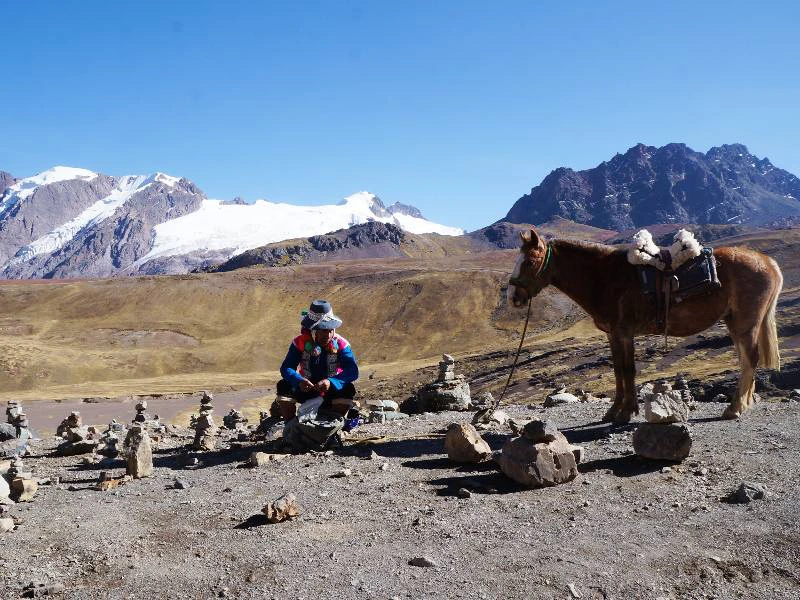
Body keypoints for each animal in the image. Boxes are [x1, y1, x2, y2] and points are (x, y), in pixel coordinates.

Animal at [508, 227, 783, 423]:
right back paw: (744, 403)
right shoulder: (613, 335)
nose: (513, 297)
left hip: (745, 324)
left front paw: (626, 413)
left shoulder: (624, 333)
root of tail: (767, 261)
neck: (604, 277)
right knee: (746, 360)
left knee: (751, 359)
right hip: (734, 323)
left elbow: (628, 370)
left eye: (529, 261)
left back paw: (734, 408)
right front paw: (613, 412)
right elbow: (618, 371)